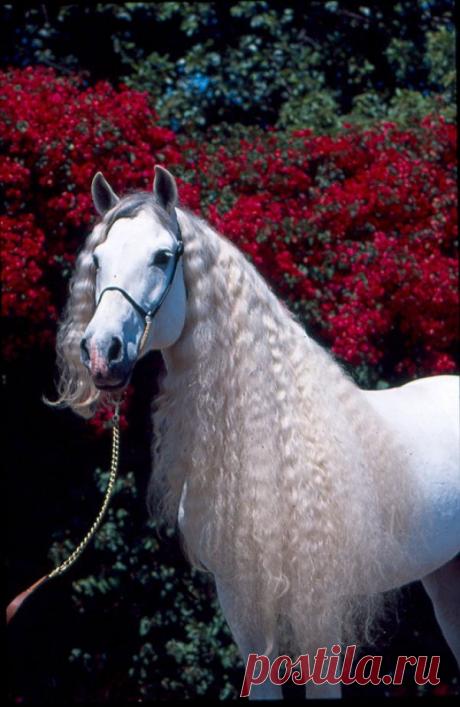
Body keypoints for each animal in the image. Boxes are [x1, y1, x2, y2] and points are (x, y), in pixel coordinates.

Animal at [53, 165, 460, 699]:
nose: (103, 352)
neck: (269, 443)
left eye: (163, 256)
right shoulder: (243, 604)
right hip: (446, 576)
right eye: (98, 259)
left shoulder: (318, 610)